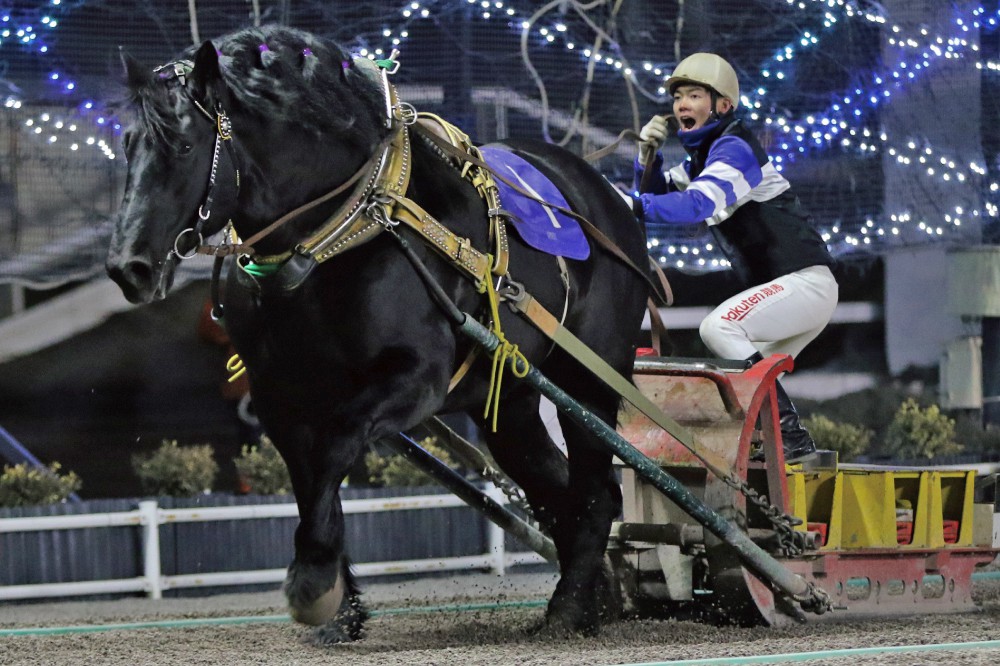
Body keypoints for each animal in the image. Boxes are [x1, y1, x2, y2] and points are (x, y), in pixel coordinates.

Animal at [106, 24, 649, 642]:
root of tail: (605, 197)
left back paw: (568, 608)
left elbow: (336, 446)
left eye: (184, 147)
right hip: (507, 398)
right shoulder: (280, 395)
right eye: (129, 146)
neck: (336, 233)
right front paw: (341, 609)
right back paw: (597, 595)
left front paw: (315, 580)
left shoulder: (419, 377)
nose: (128, 266)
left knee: (596, 492)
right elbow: (309, 476)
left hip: (588, 380)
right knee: (557, 489)